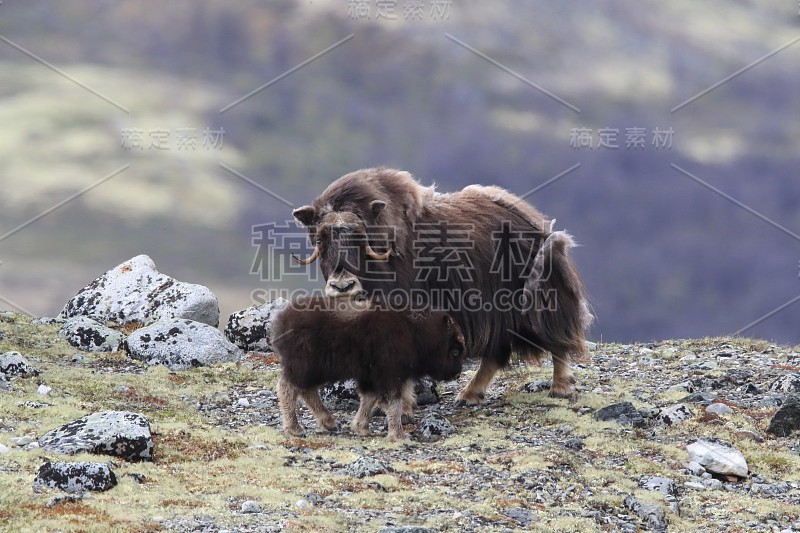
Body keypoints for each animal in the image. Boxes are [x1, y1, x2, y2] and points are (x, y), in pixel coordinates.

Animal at [274, 296, 466, 440]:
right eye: (455, 351)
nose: (456, 374)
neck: (416, 331)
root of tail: (282, 321)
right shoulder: (390, 375)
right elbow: (394, 402)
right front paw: (399, 436)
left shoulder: (372, 377)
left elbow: (369, 398)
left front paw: (361, 428)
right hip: (305, 366)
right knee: (288, 388)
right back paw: (295, 428)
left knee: (306, 390)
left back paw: (328, 422)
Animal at [290, 166, 592, 404]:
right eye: (321, 240)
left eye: (359, 238)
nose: (342, 286)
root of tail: (537, 223)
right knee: (496, 353)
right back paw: (469, 395)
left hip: (536, 292)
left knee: (554, 338)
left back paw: (560, 388)